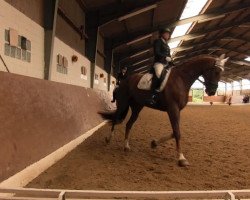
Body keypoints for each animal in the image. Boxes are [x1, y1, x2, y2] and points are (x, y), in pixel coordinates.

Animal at [100, 54, 229, 166]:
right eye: (216, 71)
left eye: (221, 73)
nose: (212, 92)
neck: (181, 79)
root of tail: (125, 81)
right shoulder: (173, 109)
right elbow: (177, 132)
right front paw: (181, 158)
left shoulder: (177, 111)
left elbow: (175, 131)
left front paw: (154, 143)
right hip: (123, 103)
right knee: (115, 119)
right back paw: (108, 139)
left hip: (137, 107)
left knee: (128, 124)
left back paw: (126, 146)